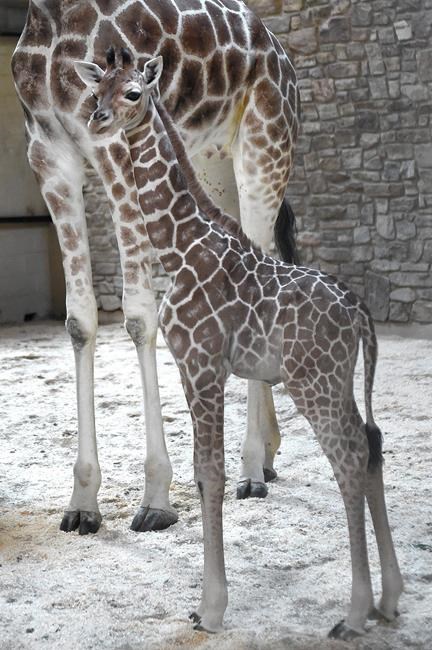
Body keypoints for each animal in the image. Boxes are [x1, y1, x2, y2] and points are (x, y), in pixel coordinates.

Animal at [12, 0, 300, 534]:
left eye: (131, 92)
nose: (102, 113)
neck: (51, 14)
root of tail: (283, 57)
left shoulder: (114, 150)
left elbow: (139, 316)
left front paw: (156, 498)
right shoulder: (48, 153)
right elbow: (79, 320)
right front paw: (82, 502)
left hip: (265, 146)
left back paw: (252, 469)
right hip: (211, 164)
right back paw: (268, 455)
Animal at [80, 51, 404, 639]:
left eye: (134, 92)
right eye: (98, 91)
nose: (97, 119)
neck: (179, 247)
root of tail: (360, 316)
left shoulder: (202, 364)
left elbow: (211, 473)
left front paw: (210, 609)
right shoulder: (198, 367)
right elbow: (203, 472)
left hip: (312, 381)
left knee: (347, 458)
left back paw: (353, 613)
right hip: (337, 381)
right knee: (370, 442)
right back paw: (389, 599)